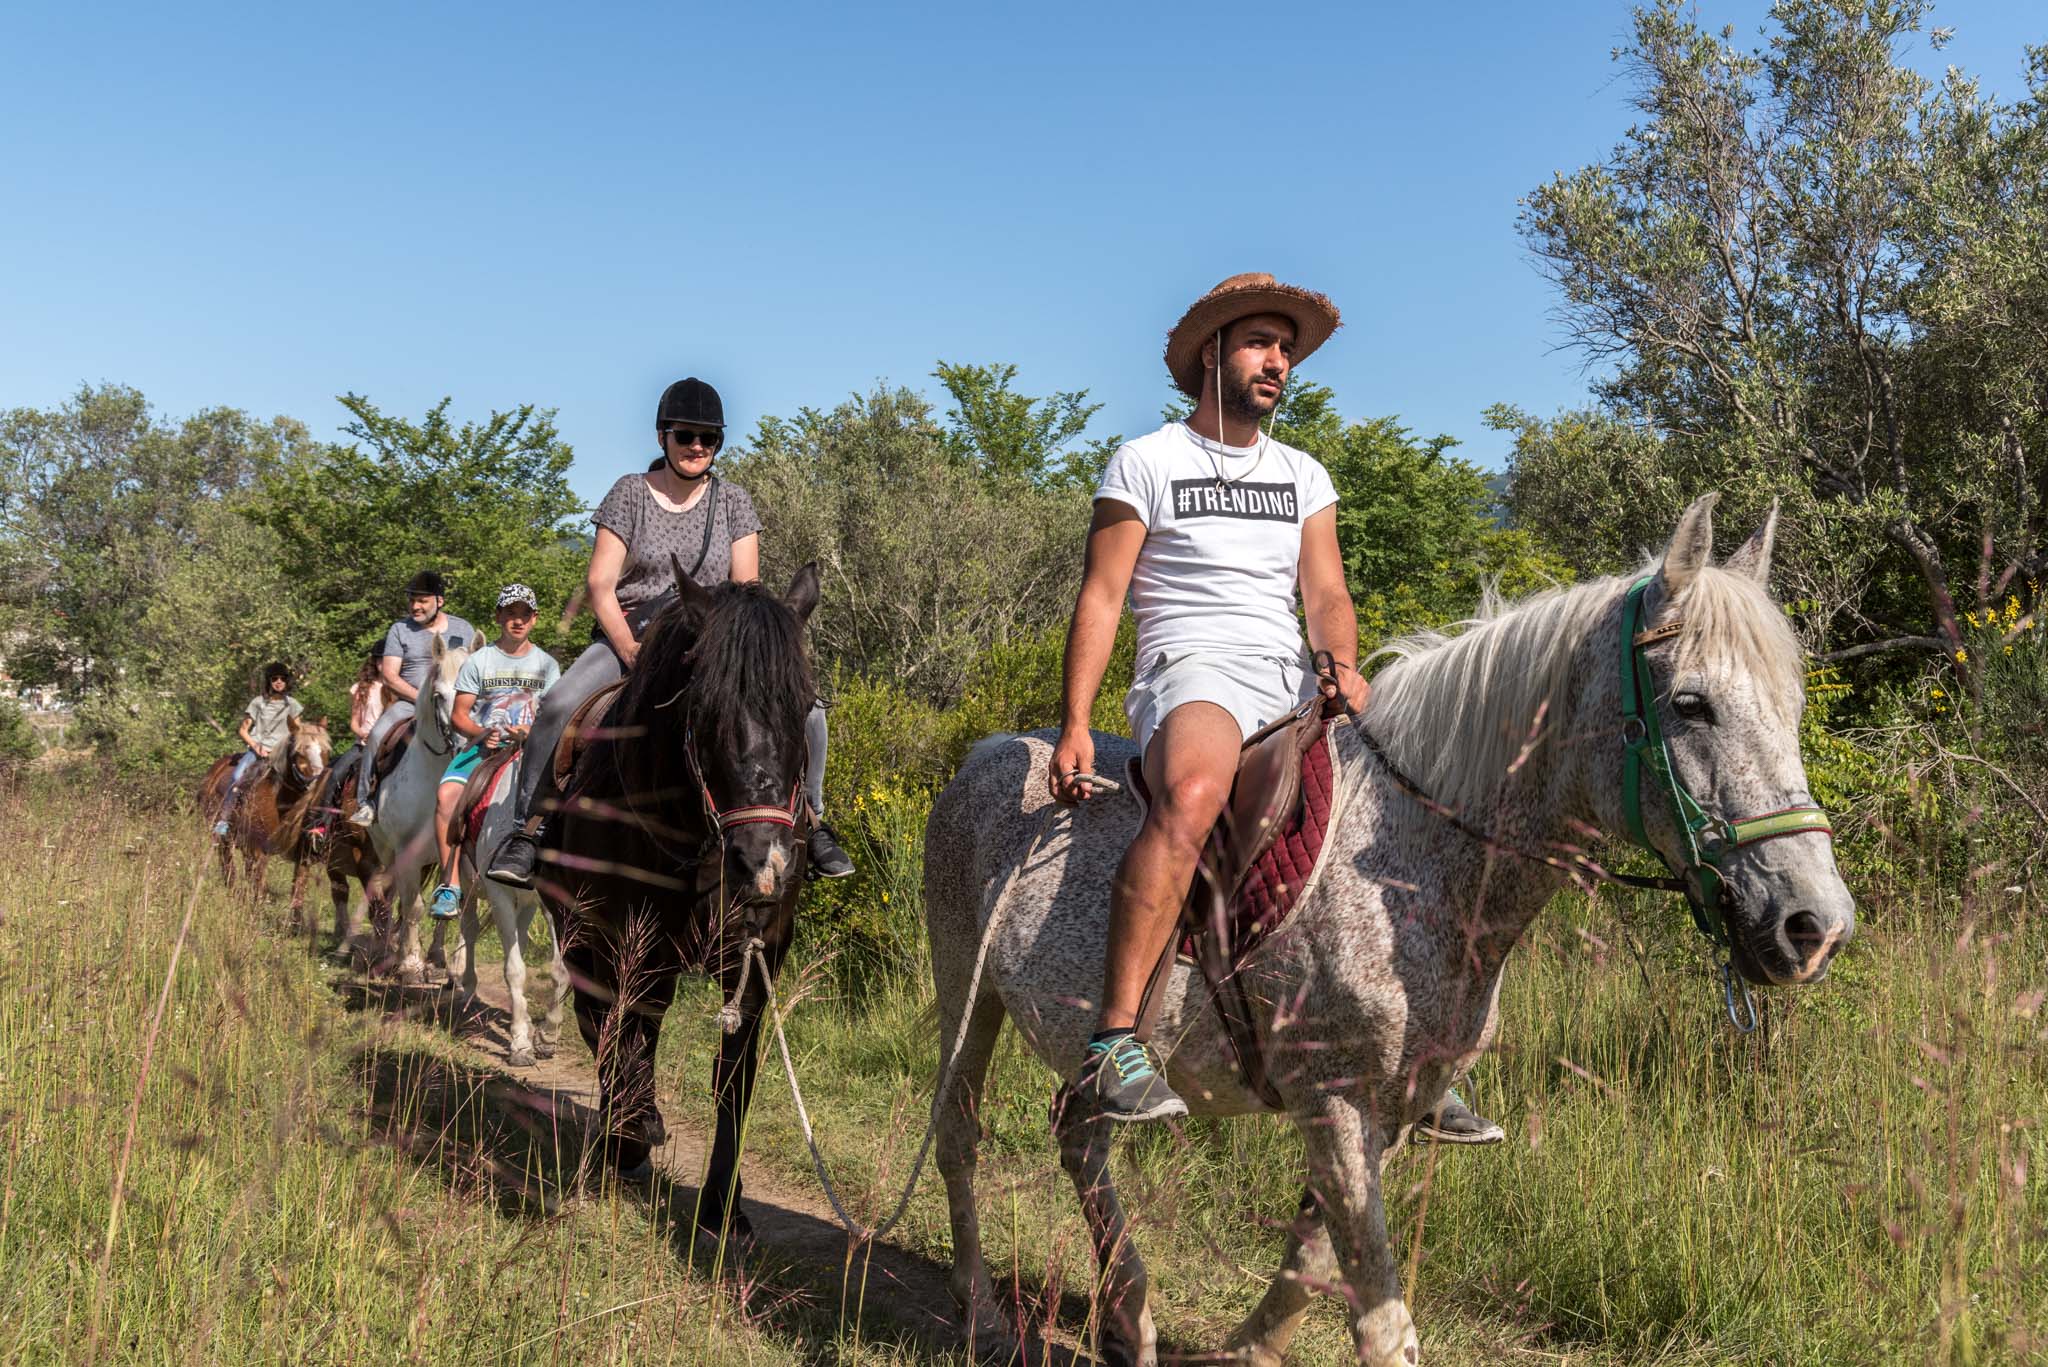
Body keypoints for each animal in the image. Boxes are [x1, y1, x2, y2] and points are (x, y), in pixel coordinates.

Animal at [198, 717, 334, 895]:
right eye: (298, 752)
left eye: (326, 751)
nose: (318, 785)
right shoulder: (258, 850)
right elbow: (259, 890)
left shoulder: (304, 856)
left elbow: (297, 892)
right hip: (223, 837)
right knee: (228, 866)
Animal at [454, 749, 569, 1067]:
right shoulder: (499, 893)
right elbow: (514, 969)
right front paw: (520, 1045)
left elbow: (561, 969)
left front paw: (547, 1036)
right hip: (469, 886)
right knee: (470, 930)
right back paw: (467, 988)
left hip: (526, 904)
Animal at [536, 564, 819, 1240]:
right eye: (704, 707)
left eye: (804, 705)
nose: (762, 862)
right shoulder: (617, 941)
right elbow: (619, 1039)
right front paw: (633, 1135)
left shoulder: (758, 959)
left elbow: (733, 1081)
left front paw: (724, 1208)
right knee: (605, 1026)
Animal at [921, 496, 1856, 1367]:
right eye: (1691, 705)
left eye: (1792, 705)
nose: (1815, 925)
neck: (1418, 856)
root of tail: (989, 751)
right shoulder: (1333, 1099)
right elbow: (1378, 1318)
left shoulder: (1394, 1110)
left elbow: (1310, 1263)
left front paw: (1247, 1348)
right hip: (967, 992)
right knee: (959, 1132)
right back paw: (984, 1316)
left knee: (1079, 1135)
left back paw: (1127, 1316)